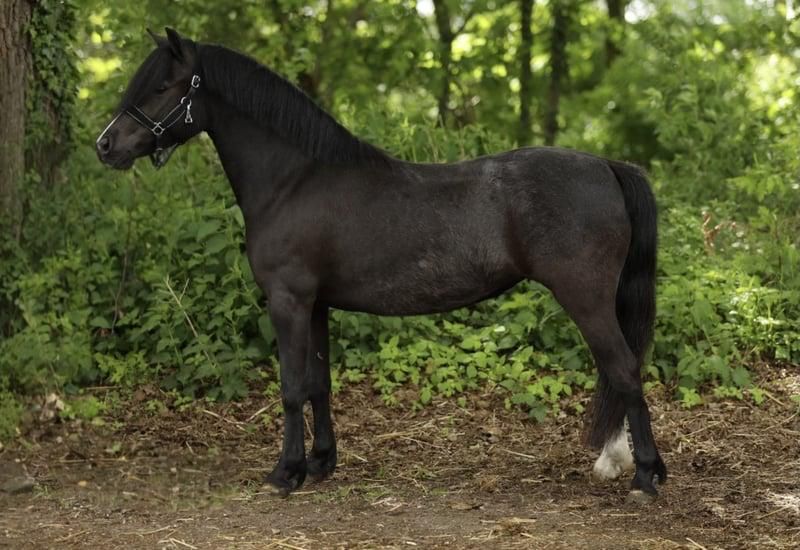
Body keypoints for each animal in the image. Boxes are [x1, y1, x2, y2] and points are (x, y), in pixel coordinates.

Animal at [96, 28, 666, 503]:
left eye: (163, 86)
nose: (106, 146)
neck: (294, 181)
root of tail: (607, 166)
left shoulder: (287, 301)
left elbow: (291, 387)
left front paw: (285, 473)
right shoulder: (316, 305)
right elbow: (318, 383)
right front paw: (321, 464)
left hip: (585, 298)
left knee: (624, 370)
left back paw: (645, 477)